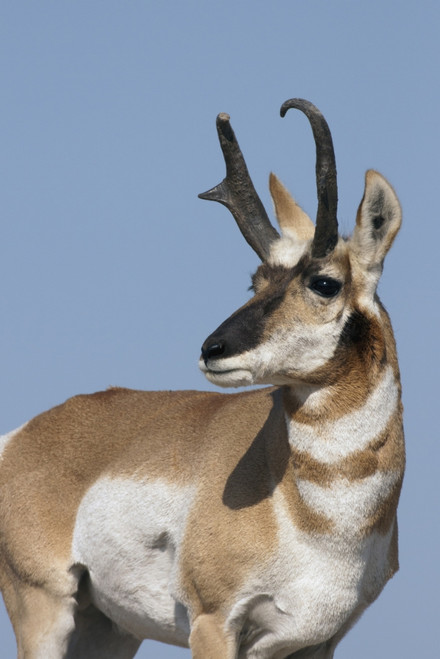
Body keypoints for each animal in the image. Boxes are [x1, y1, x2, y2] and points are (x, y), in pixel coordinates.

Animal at [0, 98, 405, 659]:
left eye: (324, 283)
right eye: (256, 280)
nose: (213, 350)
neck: (310, 515)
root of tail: (21, 437)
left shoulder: (319, 641)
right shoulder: (213, 622)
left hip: (108, 631)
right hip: (43, 609)